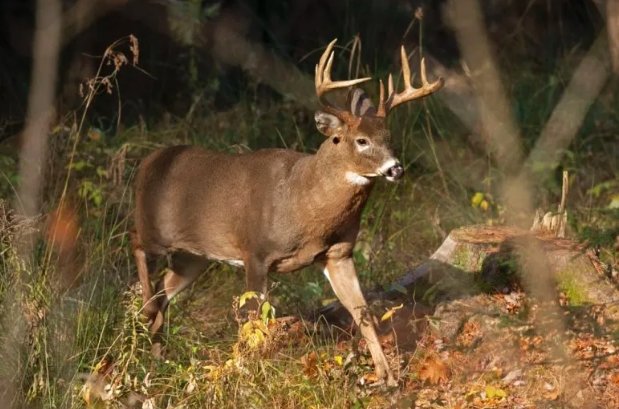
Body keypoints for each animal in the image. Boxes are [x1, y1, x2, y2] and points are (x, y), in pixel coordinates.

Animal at [134, 39, 446, 384]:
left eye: (389, 138)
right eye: (361, 140)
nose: (396, 169)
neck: (303, 205)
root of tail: (147, 162)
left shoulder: (338, 253)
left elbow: (361, 310)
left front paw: (386, 377)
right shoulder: (255, 252)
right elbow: (254, 321)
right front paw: (249, 374)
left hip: (194, 256)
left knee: (163, 291)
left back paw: (157, 358)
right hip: (152, 228)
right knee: (138, 253)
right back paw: (147, 323)